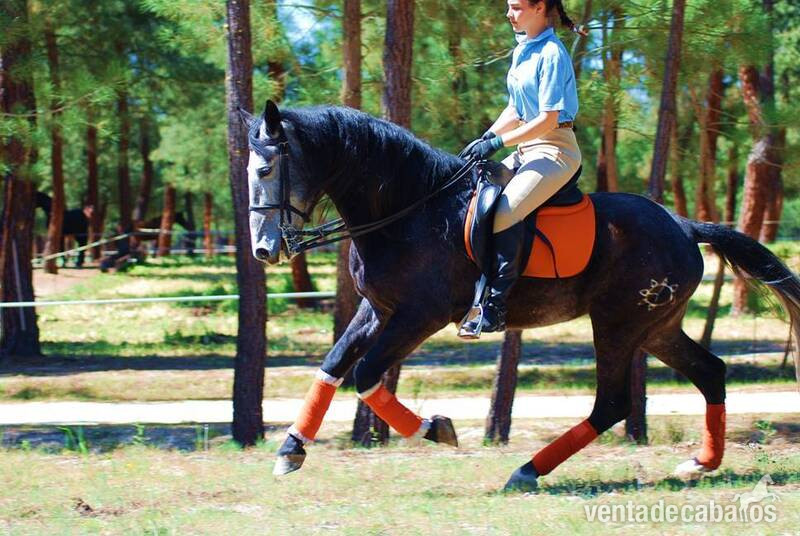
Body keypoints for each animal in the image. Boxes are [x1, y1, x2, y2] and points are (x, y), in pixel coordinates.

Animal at [242, 100, 800, 491]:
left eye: (266, 171)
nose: (265, 249)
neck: (406, 209)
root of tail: (684, 225)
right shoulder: (378, 309)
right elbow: (333, 364)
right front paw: (291, 449)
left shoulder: (420, 315)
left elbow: (365, 374)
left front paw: (436, 429)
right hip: (655, 326)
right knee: (710, 372)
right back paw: (701, 462)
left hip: (618, 325)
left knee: (613, 403)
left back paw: (528, 471)